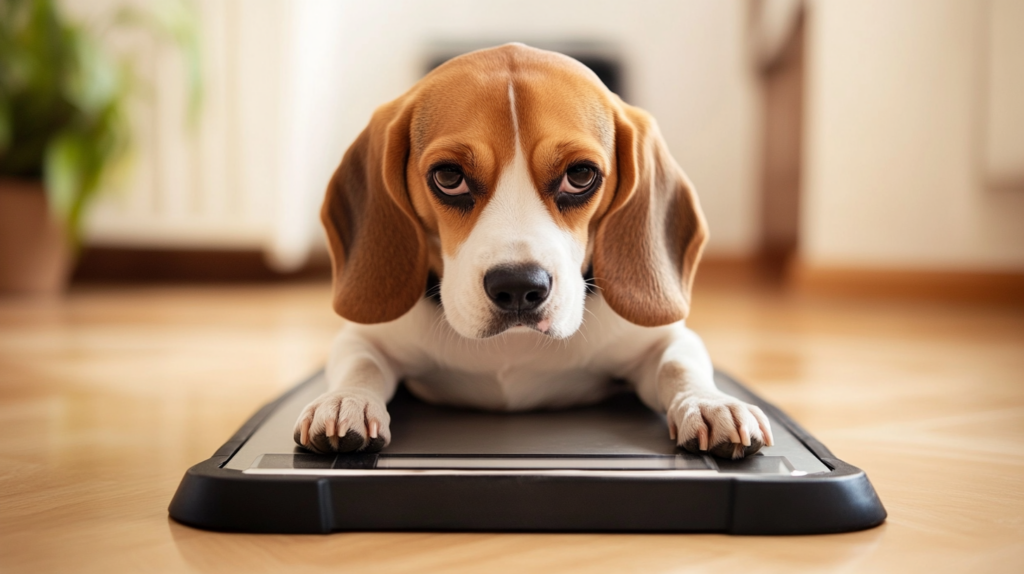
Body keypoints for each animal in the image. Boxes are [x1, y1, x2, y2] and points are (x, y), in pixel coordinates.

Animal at [292, 42, 770, 458]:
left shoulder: (663, 339)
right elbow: (360, 363)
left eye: (581, 175)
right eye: (448, 177)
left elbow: (679, 364)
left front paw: (711, 403)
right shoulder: (364, 337)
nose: (519, 287)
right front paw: (344, 401)